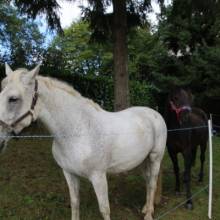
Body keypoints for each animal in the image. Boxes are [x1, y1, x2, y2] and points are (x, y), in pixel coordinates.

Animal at [0, 64, 166, 220]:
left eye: (13, 99)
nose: (0, 138)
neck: (79, 131)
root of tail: (154, 113)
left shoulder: (98, 177)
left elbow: (104, 209)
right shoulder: (69, 173)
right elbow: (75, 203)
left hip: (155, 157)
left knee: (152, 182)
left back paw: (148, 215)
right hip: (142, 160)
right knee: (148, 181)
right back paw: (146, 208)